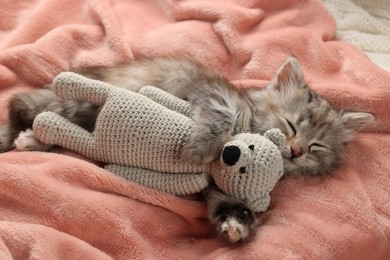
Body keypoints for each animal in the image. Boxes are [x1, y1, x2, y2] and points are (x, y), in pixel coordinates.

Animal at [0, 55, 374, 244]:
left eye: (316, 147)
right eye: (290, 126)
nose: (295, 152)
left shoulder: (224, 184)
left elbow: (227, 200)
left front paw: (239, 223)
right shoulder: (214, 96)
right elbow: (219, 121)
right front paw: (198, 148)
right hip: (82, 99)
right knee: (24, 106)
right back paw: (29, 139)